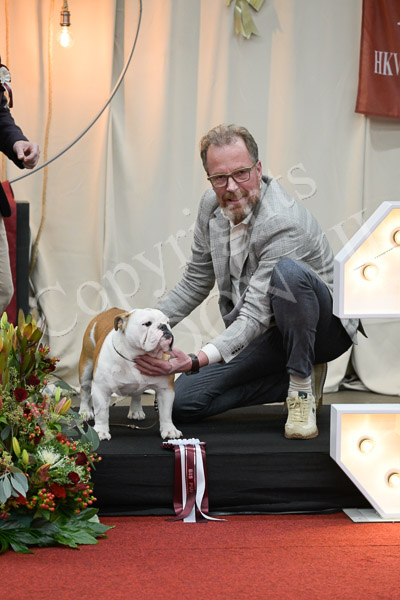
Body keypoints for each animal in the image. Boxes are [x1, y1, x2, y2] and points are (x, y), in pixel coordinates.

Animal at [78, 307, 182, 441]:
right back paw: (85, 412)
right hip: (86, 365)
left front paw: (169, 430)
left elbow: (166, 412)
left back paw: (136, 411)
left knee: (137, 394)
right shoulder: (101, 389)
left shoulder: (165, 390)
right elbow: (101, 413)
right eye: (147, 323)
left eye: (168, 322)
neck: (134, 356)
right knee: (85, 391)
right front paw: (100, 432)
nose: (164, 326)